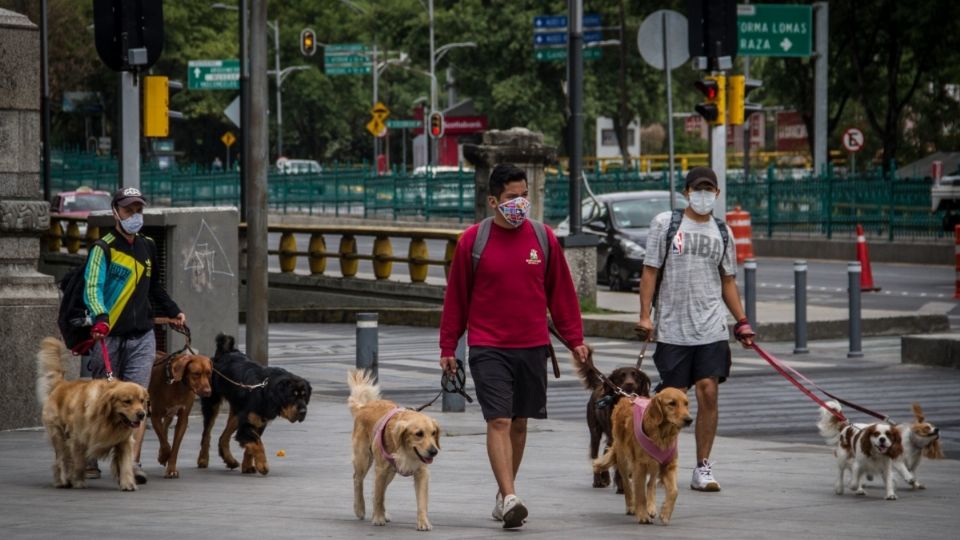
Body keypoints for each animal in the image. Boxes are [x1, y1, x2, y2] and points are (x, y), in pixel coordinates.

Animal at [36, 338, 149, 490]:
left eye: (142, 400)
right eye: (127, 401)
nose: (142, 414)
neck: (108, 419)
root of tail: (61, 384)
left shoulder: (124, 441)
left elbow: (125, 464)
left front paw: (128, 484)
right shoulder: (79, 438)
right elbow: (78, 463)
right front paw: (78, 481)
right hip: (58, 434)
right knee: (62, 458)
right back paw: (62, 480)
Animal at [197, 332, 314, 474]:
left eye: (304, 396)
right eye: (292, 395)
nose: (303, 411)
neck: (267, 390)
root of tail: (225, 352)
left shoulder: (258, 422)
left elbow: (251, 445)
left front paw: (247, 466)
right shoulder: (247, 424)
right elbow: (258, 443)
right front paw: (262, 465)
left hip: (238, 412)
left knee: (223, 437)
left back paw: (230, 460)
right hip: (212, 402)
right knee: (206, 433)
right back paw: (203, 459)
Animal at [346, 370, 440, 528]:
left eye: (433, 433)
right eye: (419, 434)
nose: (434, 452)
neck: (406, 450)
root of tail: (364, 406)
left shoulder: (422, 472)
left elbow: (422, 501)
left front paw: (423, 522)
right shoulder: (381, 469)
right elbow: (378, 496)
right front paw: (378, 518)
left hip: (390, 472)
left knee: (379, 490)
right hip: (364, 459)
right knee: (357, 479)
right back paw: (360, 508)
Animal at [568, 350, 652, 494]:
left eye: (635, 375)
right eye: (621, 376)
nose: (629, 384)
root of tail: (599, 385)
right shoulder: (617, 438)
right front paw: (622, 486)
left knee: (605, 452)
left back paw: (606, 477)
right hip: (595, 432)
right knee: (596, 456)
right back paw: (598, 480)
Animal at [592, 388, 688, 524]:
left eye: (686, 404)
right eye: (672, 403)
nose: (689, 419)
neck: (662, 435)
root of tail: (625, 398)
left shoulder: (669, 464)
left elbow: (674, 491)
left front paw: (665, 513)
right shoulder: (640, 465)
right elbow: (640, 493)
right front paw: (642, 516)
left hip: (654, 464)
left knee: (651, 484)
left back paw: (651, 507)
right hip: (623, 460)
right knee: (627, 484)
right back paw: (631, 507)